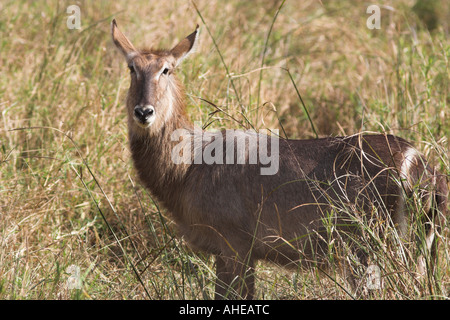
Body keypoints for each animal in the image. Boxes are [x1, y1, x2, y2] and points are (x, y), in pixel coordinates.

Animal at [111, 20, 446, 298]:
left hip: (381, 246)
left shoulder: (234, 244)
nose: (144, 112)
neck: (188, 167)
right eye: (131, 68)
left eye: (166, 69)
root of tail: (423, 166)